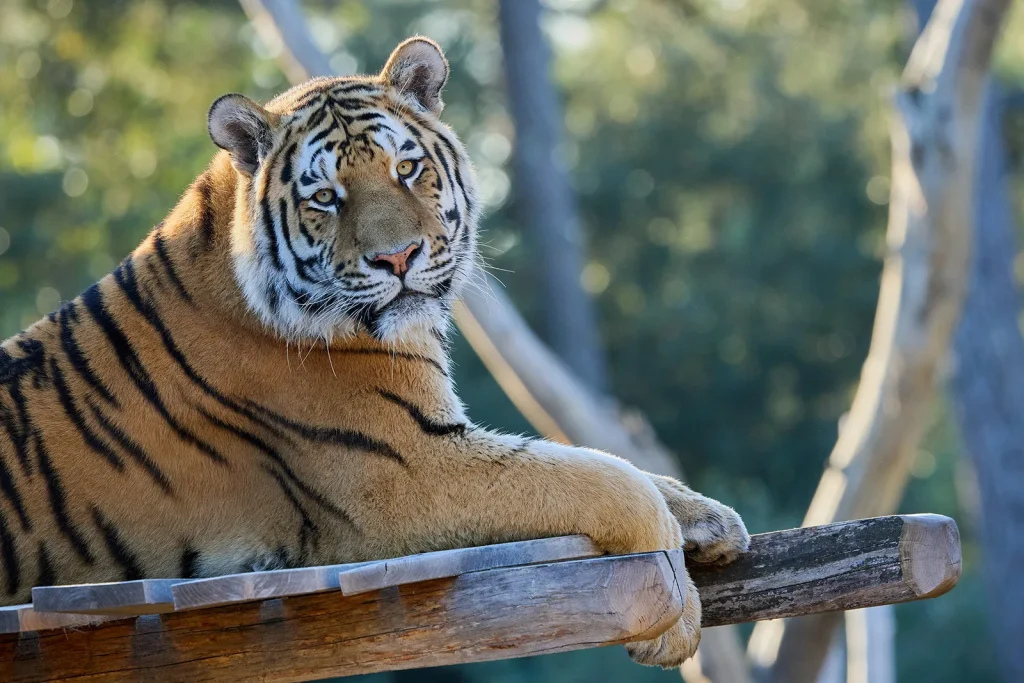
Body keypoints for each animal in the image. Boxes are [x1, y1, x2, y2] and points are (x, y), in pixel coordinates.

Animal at [0, 38, 748, 667]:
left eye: (407, 168)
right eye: (326, 197)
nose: (398, 257)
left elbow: (615, 464)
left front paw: (712, 519)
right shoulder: (404, 471)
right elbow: (603, 476)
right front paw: (672, 615)